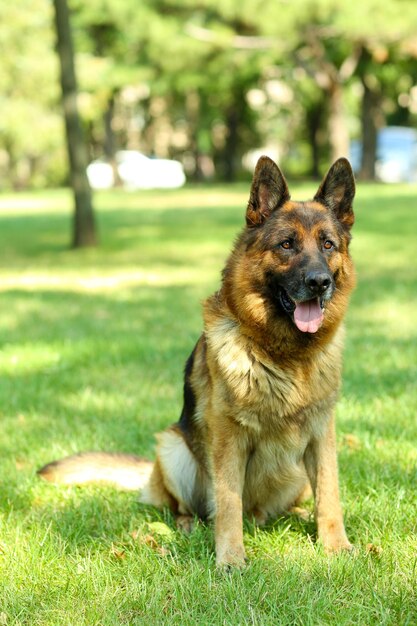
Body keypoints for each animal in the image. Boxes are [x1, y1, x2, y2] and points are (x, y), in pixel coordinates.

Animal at [39, 156, 356, 564]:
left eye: (328, 244)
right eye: (287, 244)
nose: (319, 282)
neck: (285, 354)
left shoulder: (321, 435)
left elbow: (330, 495)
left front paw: (336, 546)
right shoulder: (228, 438)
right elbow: (228, 503)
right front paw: (231, 558)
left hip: (296, 473)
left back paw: (296, 514)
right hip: (173, 448)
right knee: (190, 508)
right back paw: (189, 526)